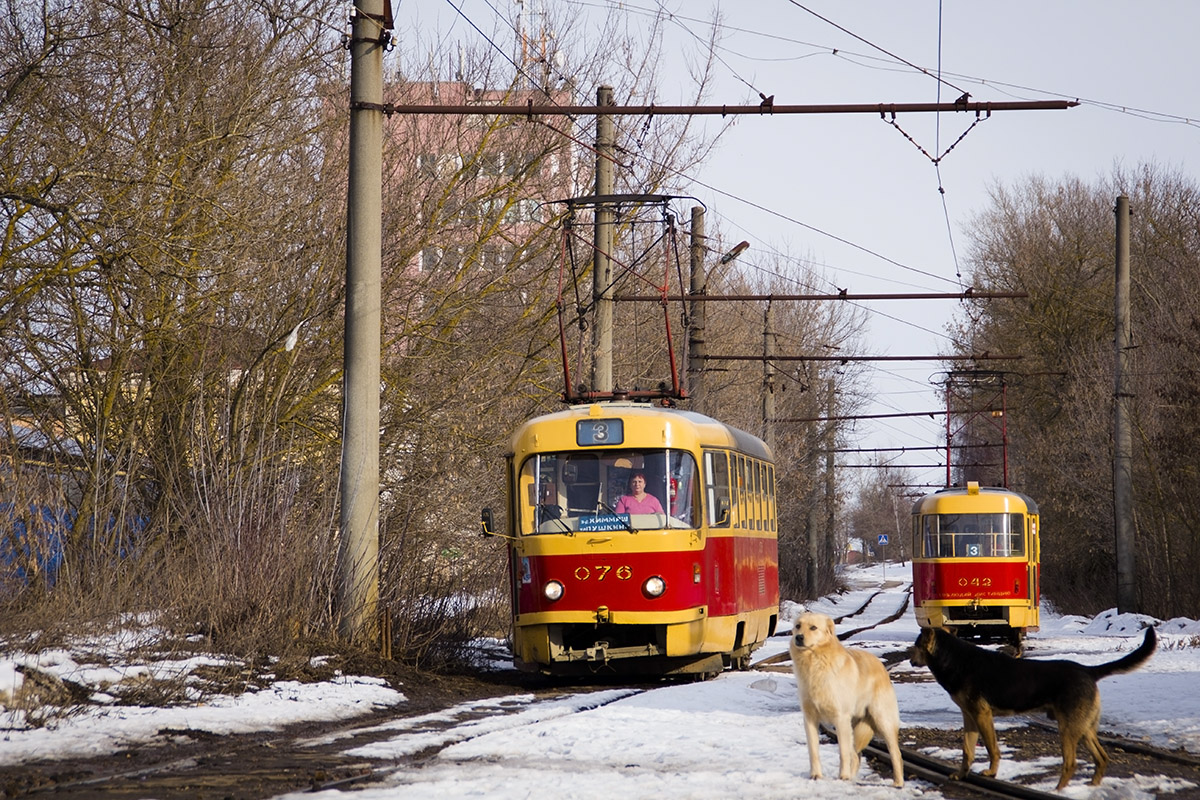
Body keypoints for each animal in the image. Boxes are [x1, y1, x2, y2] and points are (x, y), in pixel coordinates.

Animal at [787, 618, 902, 786]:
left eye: (813, 627)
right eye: (797, 626)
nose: (799, 637)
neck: (815, 662)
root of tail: (880, 664)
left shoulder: (840, 718)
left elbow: (842, 752)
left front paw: (843, 776)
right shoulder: (809, 718)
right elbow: (813, 751)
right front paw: (816, 775)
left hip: (882, 721)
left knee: (896, 753)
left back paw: (898, 783)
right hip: (853, 725)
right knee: (856, 755)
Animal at [912, 623, 1156, 786]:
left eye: (916, 646)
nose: (911, 660)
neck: (953, 658)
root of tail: (1088, 671)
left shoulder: (982, 715)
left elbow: (992, 749)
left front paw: (991, 773)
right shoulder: (970, 717)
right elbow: (967, 751)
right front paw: (962, 775)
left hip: (1067, 729)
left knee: (1070, 763)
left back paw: (1058, 791)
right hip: (1083, 728)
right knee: (1102, 758)